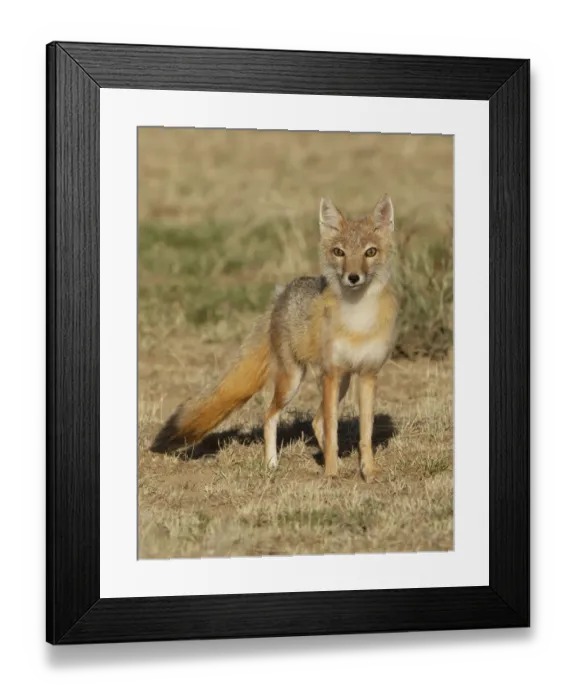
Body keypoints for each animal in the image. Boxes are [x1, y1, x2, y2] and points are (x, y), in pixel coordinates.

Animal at [150, 195, 399, 481]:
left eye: (370, 252)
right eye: (339, 252)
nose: (353, 277)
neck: (358, 322)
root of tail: (282, 293)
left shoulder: (368, 374)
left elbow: (365, 434)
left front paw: (368, 472)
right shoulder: (331, 374)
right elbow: (333, 431)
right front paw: (330, 474)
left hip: (341, 381)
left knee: (317, 421)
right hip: (294, 380)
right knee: (271, 414)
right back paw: (272, 464)